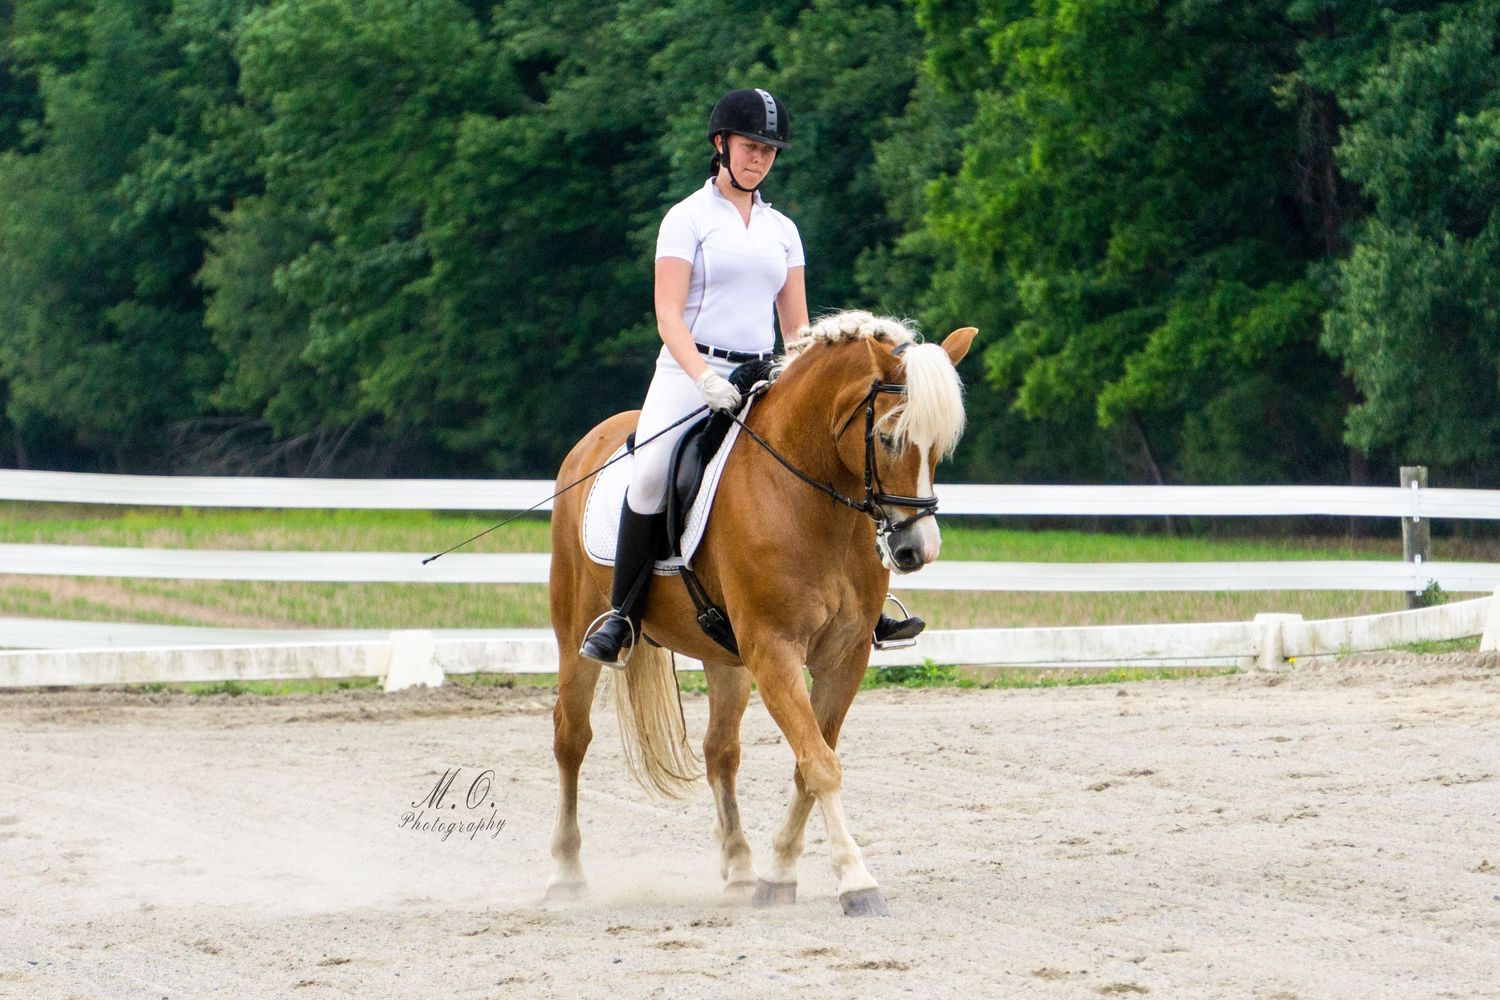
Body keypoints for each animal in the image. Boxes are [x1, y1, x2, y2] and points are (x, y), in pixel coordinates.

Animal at [546, 310, 976, 916]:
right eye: (888, 438)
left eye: (939, 446)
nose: (918, 550)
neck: (808, 497)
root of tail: (590, 442)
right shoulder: (774, 650)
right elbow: (819, 763)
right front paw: (856, 880)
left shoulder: (844, 658)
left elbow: (808, 760)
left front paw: (778, 875)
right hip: (574, 630)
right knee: (572, 738)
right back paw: (565, 874)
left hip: (723, 655)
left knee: (719, 752)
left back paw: (740, 870)